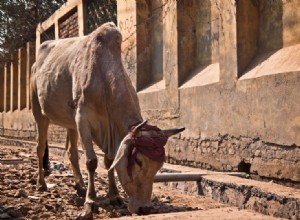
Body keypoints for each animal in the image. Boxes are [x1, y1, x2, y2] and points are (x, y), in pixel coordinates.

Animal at [31, 22, 185, 218]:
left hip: (70, 123)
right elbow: (91, 162)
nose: (144, 208)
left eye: (159, 166)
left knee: (71, 152)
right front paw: (90, 202)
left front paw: (114, 196)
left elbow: (110, 161)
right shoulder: (82, 118)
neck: (103, 78)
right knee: (40, 148)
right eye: (138, 161)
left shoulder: (104, 130)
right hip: (39, 112)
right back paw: (41, 184)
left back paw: (80, 187)